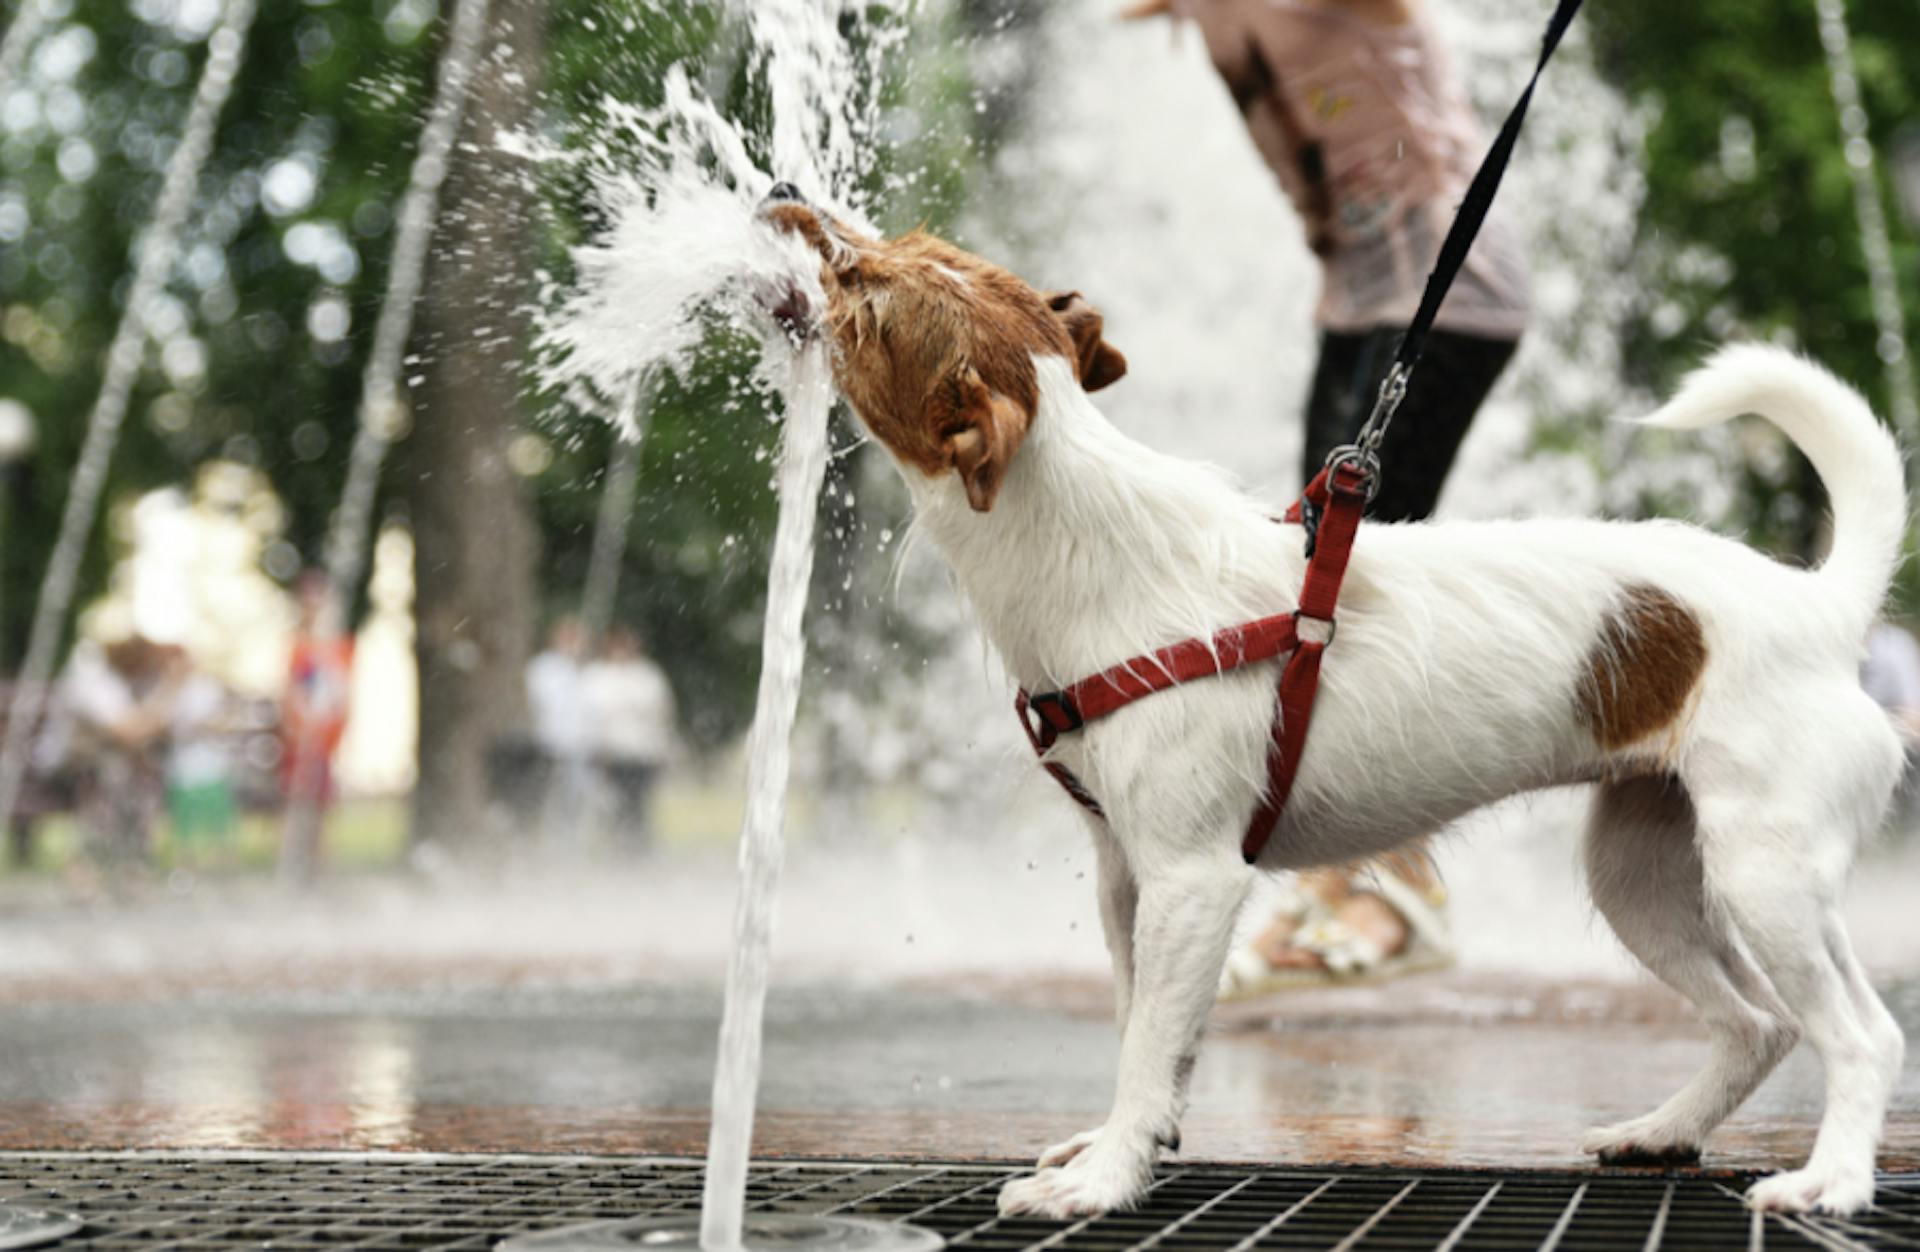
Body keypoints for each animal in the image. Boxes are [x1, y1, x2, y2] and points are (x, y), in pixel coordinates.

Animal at [760, 180, 1904, 1221]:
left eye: (864, 290)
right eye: (900, 246)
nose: (782, 191)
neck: (1090, 540)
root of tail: (1820, 604)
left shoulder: (1194, 879)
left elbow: (1149, 1041)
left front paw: (1105, 1178)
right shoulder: (1127, 876)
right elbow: (1141, 1029)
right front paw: (1132, 1140)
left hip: (1763, 873)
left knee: (1862, 1034)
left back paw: (1832, 1183)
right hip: (1647, 875)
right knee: (1764, 1023)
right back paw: (1664, 1130)